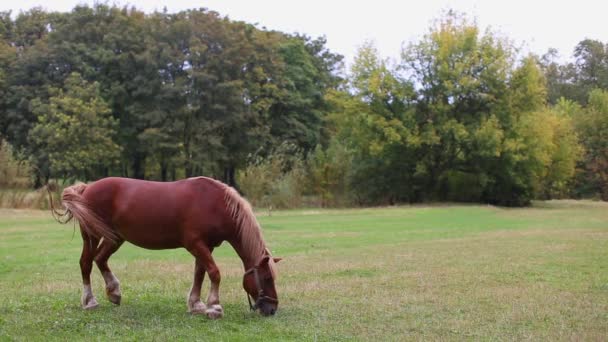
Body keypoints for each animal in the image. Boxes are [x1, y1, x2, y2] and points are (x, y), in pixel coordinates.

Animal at [51, 176, 282, 318]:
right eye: (267, 278)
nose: (272, 309)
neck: (215, 204)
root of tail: (86, 188)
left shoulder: (205, 247)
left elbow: (200, 274)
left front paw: (196, 304)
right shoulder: (196, 244)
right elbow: (214, 273)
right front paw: (214, 307)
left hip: (114, 238)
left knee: (100, 259)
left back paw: (114, 292)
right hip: (92, 235)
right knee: (86, 263)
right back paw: (90, 301)